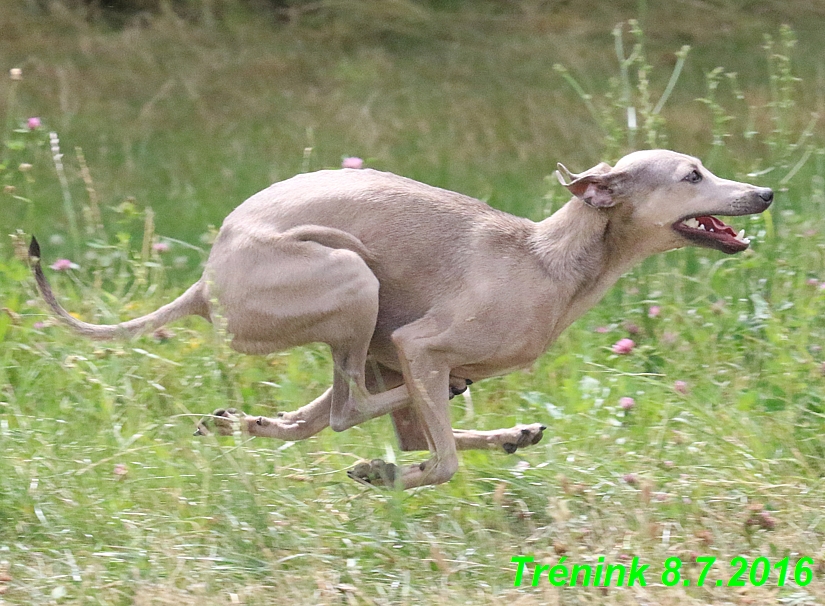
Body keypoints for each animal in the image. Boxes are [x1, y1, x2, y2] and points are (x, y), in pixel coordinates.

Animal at [27, 150, 772, 492]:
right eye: (692, 175)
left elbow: (425, 444)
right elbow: (439, 461)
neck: (548, 258)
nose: (765, 192)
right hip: (354, 281)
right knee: (346, 411)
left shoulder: (404, 354)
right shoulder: (419, 346)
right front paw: (385, 474)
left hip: (363, 330)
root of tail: (205, 278)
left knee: (319, 416)